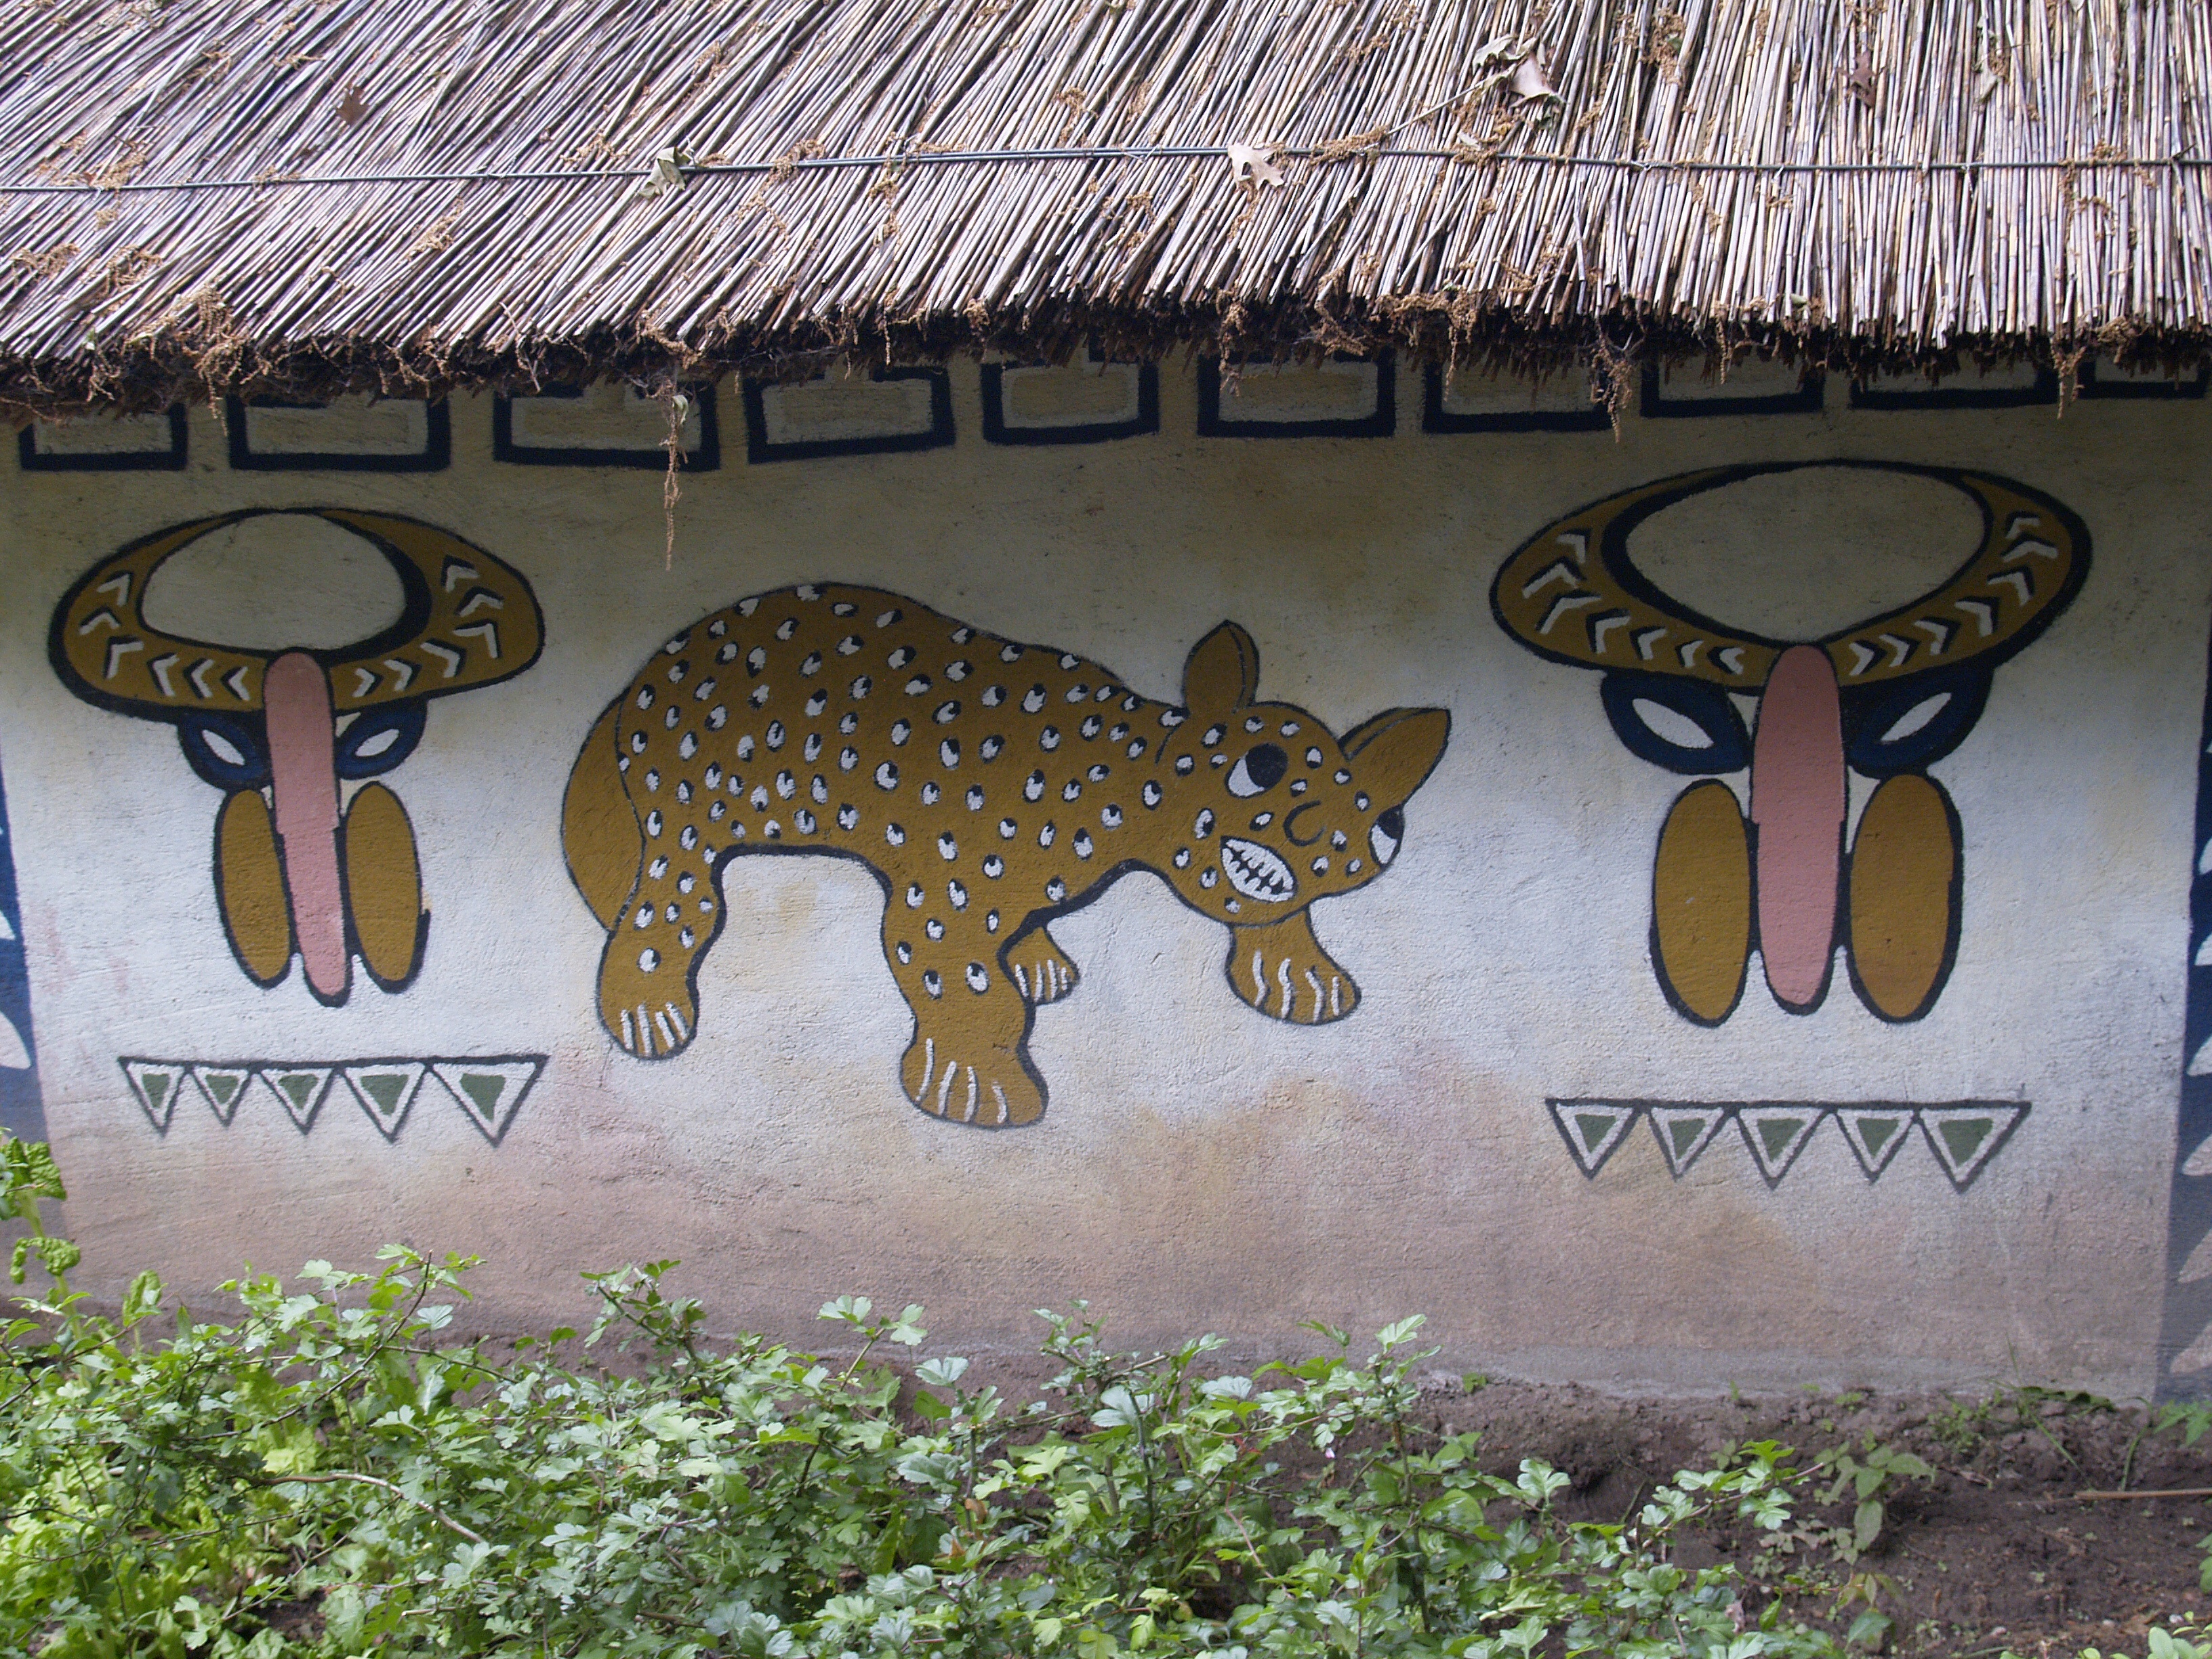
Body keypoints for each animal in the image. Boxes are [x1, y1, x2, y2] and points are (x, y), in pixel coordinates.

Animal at [561, 583, 1450, 1128]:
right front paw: (973, 1091)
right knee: (677, 905)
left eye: (1387, 824)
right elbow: (975, 997)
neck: (1119, 775)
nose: (1322, 833)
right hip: (688, 819)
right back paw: (649, 1016)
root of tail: (653, 663)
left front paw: (1301, 977)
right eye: (1260, 765)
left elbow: (1269, 912)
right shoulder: (937, 902)